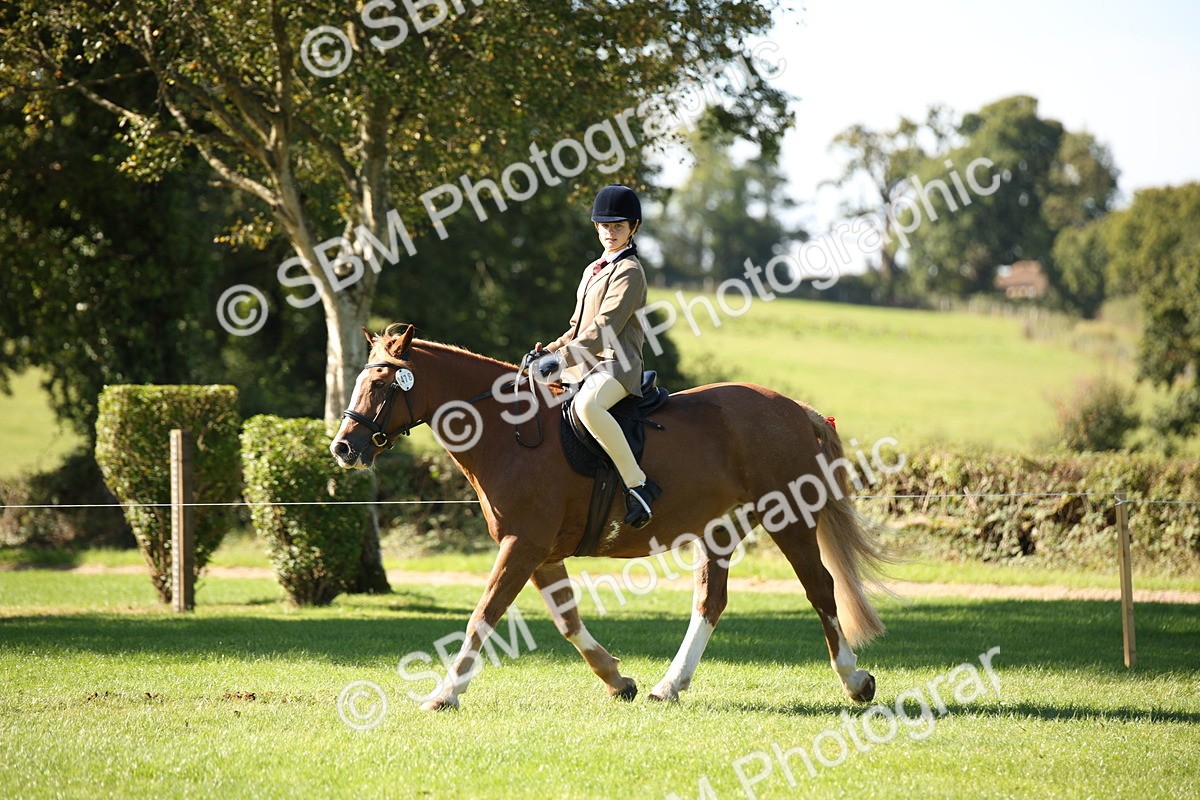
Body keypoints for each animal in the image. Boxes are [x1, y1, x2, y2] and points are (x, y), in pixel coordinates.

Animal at [330, 323, 889, 710]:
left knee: (820, 589)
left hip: (788, 519)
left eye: (381, 387)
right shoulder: (537, 552)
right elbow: (567, 620)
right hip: (720, 529)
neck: (508, 432)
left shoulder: (522, 545)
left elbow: (482, 616)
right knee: (710, 602)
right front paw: (618, 680)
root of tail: (795, 409)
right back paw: (669, 686)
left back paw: (856, 681)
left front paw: (444, 695)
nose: (342, 448)